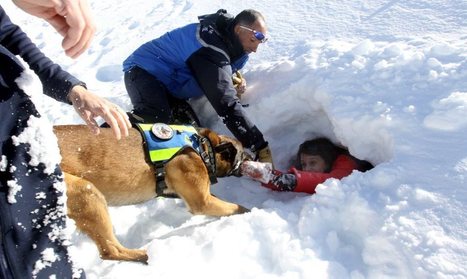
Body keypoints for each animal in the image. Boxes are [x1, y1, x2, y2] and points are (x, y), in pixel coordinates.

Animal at [54, 126, 252, 264]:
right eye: (243, 155)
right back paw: (143, 255)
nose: (254, 156)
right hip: (86, 190)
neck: (203, 146)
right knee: (110, 251)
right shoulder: (202, 201)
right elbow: (236, 207)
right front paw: (251, 212)